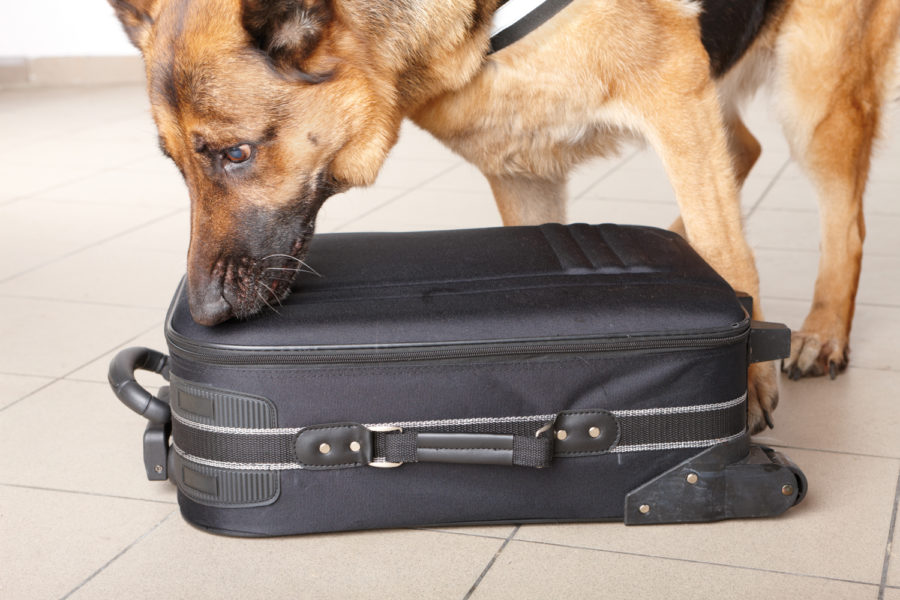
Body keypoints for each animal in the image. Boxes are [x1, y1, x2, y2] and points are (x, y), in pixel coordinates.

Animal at [107, 0, 900, 434]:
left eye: (236, 153)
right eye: (176, 165)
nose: (204, 313)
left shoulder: (674, 92)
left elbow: (727, 241)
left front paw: (752, 378)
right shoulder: (524, 171)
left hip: (817, 94)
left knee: (843, 219)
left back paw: (823, 331)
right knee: (744, 149)